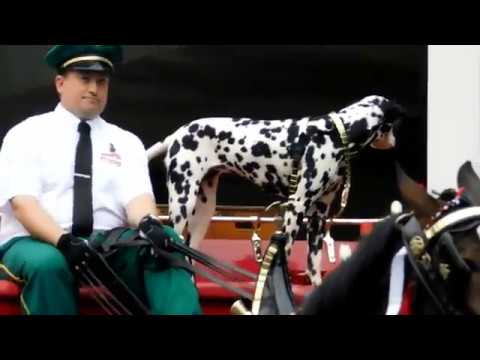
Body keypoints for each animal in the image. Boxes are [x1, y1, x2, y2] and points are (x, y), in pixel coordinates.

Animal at [149, 94, 404, 286]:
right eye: (393, 127)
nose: (395, 142)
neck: (335, 133)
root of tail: (177, 134)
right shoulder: (296, 207)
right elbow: (285, 257)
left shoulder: (319, 216)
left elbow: (314, 264)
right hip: (183, 203)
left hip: (203, 211)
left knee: (189, 252)